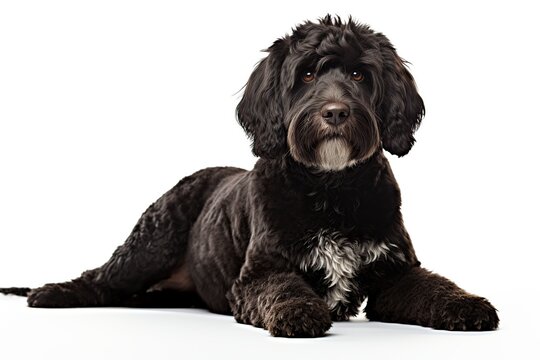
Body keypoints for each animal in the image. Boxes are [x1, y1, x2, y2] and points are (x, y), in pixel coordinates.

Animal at [0, 15, 498, 338]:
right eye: (307, 74)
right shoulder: (261, 271)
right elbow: (283, 287)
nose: (335, 112)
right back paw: (50, 292)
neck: (333, 189)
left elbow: (434, 285)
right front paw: (298, 311)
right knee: (101, 278)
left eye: (359, 74)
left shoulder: (393, 272)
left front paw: (468, 304)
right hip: (150, 240)